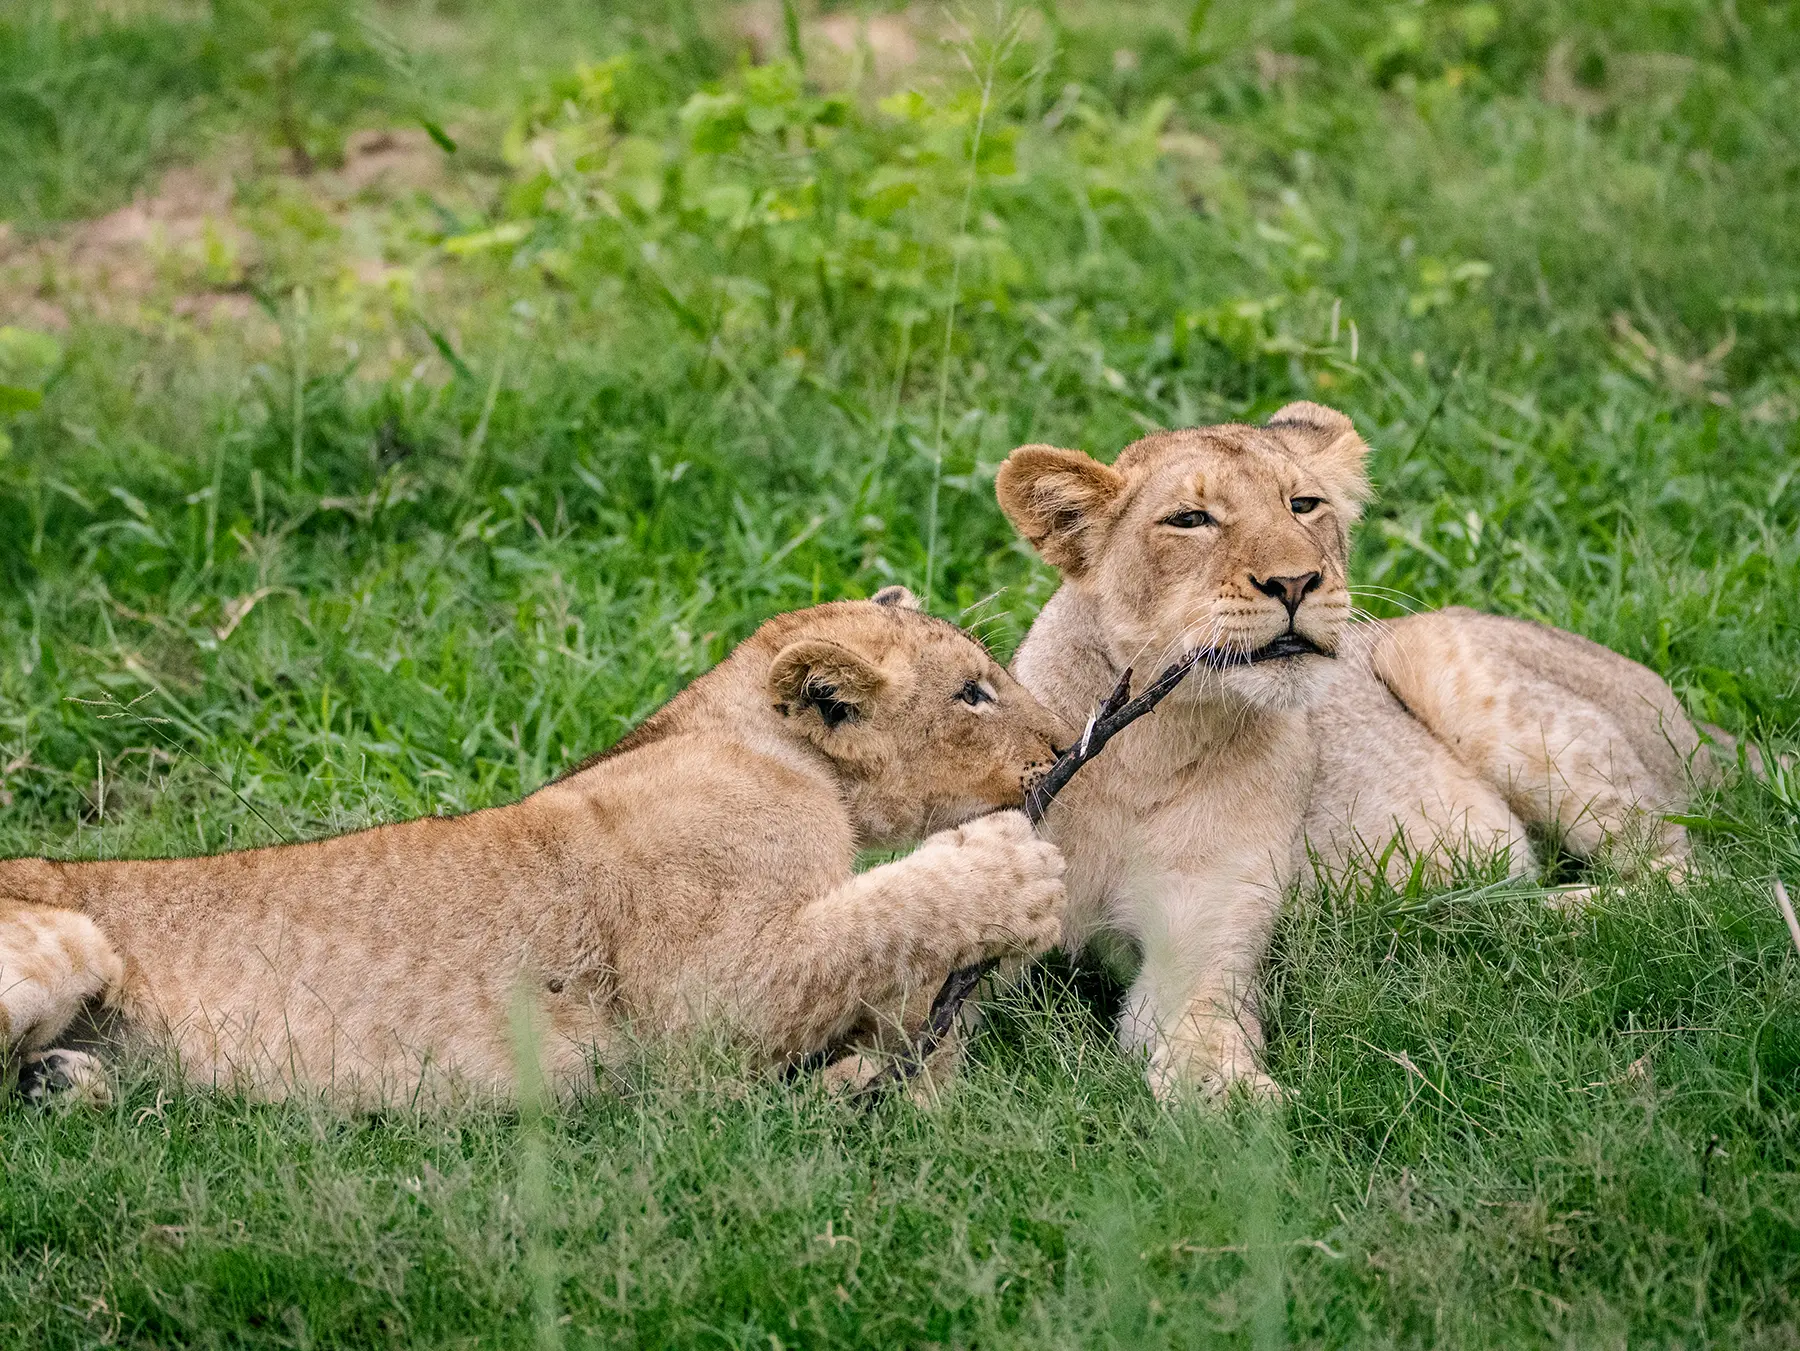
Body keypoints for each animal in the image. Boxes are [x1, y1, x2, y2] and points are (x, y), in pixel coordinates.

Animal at [0, 587, 1070, 1106]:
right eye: (973, 692)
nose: (1068, 745)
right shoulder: (711, 991)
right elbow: (877, 918)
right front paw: (1013, 876)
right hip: (65, 933)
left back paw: (67, 1084)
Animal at [995, 403, 1712, 1100]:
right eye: (1190, 519)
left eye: (1303, 504)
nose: (1295, 582)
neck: (1152, 748)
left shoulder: (1201, 949)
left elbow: (1202, 1032)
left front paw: (1232, 1100)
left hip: (1430, 650)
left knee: (1691, 879)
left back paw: (1473, 912)